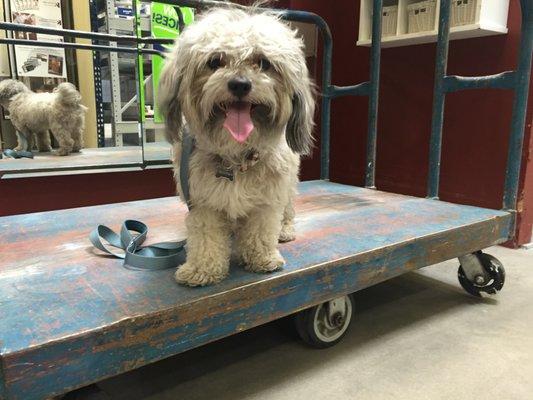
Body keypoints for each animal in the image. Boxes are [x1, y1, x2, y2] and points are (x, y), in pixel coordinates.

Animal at [159, 7, 316, 288]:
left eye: (263, 63)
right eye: (214, 62)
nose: (240, 84)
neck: (235, 157)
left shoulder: (267, 199)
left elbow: (260, 231)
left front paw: (262, 257)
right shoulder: (202, 202)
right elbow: (206, 237)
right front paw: (202, 269)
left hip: (288, 188)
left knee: (287, 210)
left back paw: (285, 229)